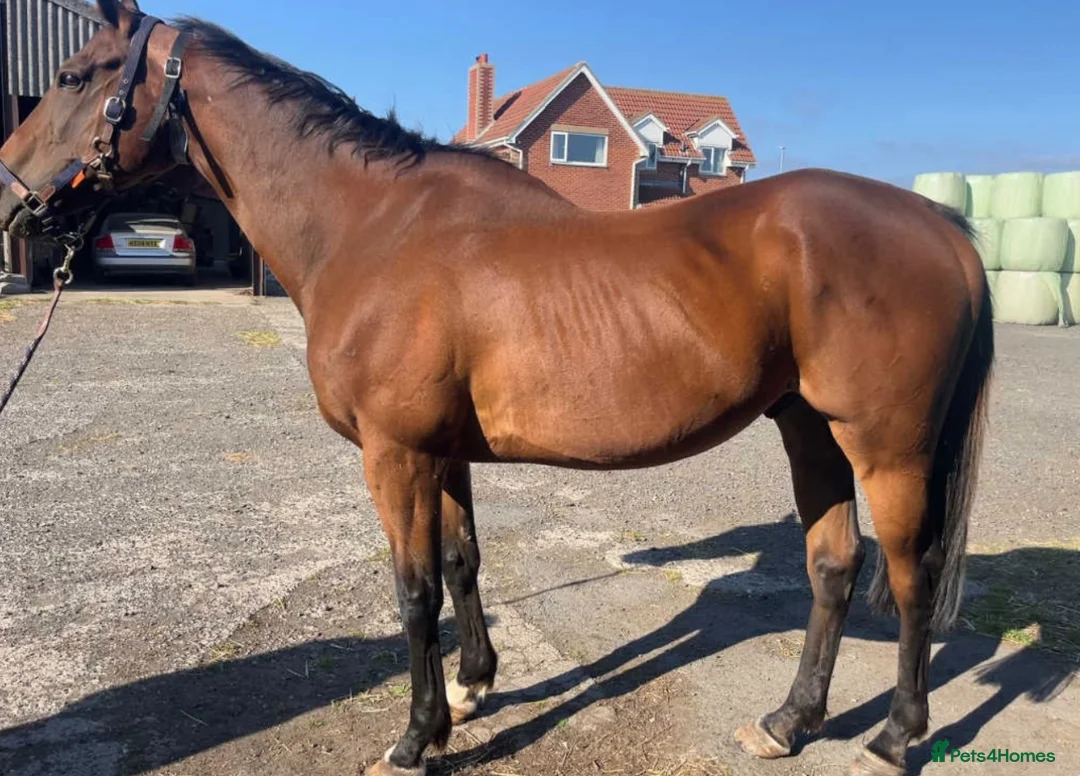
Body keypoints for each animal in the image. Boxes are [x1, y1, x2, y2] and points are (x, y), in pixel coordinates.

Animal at [0, 2, 994, 774]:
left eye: (73, 73)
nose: (11, 193)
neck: (373, 227)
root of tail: (938, 223)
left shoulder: (396, 454)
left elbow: (413, 593)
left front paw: (415, 739)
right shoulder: (441, 454)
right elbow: (461, 562)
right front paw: (475, 689)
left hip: (886, 447)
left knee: (910, 576)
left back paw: (896, 737)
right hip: (808, 427)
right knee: (834, 566)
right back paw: (788, 723)